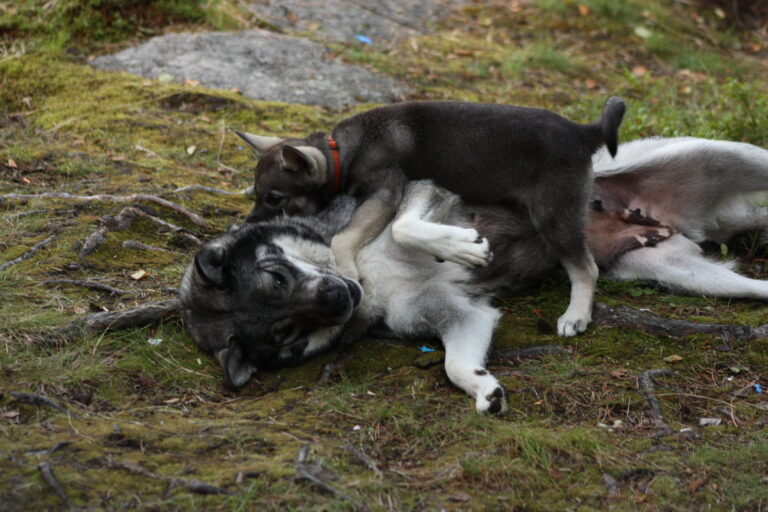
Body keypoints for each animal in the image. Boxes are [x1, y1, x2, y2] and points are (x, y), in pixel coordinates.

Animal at [180, 136, 768, 412]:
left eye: (276, 278)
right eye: (285, 332)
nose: (339, 298)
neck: (365, 273)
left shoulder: (423, 192)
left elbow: (406, 229)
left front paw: (459, 247)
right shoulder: (462, 317)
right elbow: (455, 366)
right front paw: (484, 390)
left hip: (731, 157)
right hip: (681, 272)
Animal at [237, 98, 628, 338]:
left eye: (274, 198)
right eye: (256, 193)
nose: (245, 225)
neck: (339, 153)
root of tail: (583, 132)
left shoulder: (386, 192)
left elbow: (346, 238)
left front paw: (347, 270)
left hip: (554, 216)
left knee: (585, 268)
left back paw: (576, 315)